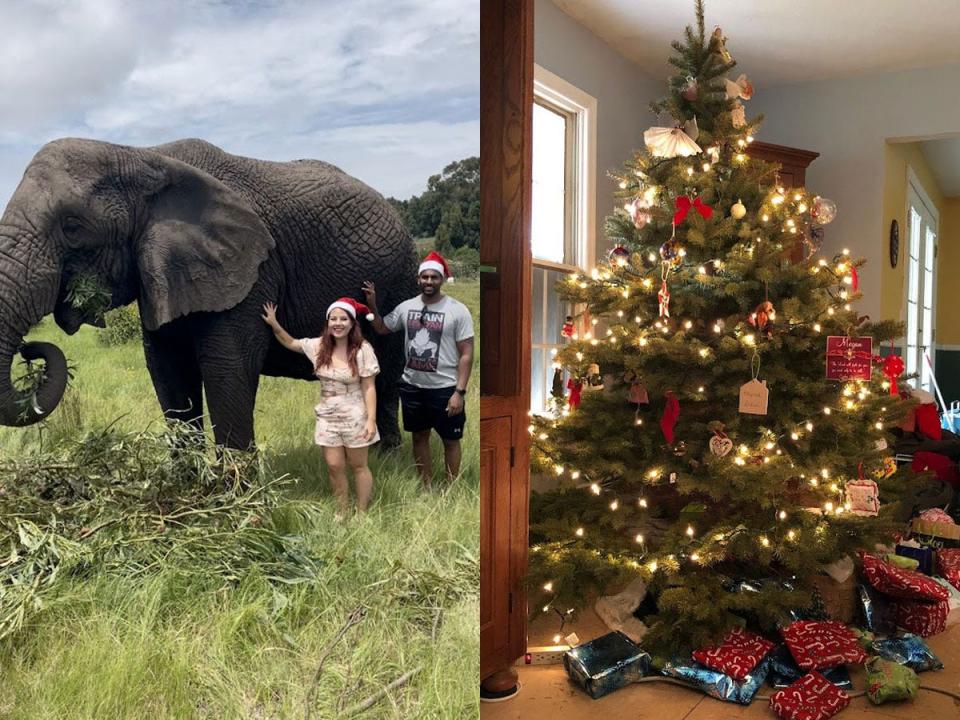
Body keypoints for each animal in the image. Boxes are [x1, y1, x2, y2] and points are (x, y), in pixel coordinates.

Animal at [0, 138, 416, 448]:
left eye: (72, 227)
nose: (30, 348)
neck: (139, 156)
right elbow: (168, 372)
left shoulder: (251, 272)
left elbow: (226, 371)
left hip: (400, 277)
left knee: (385, 374)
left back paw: (385, 455)